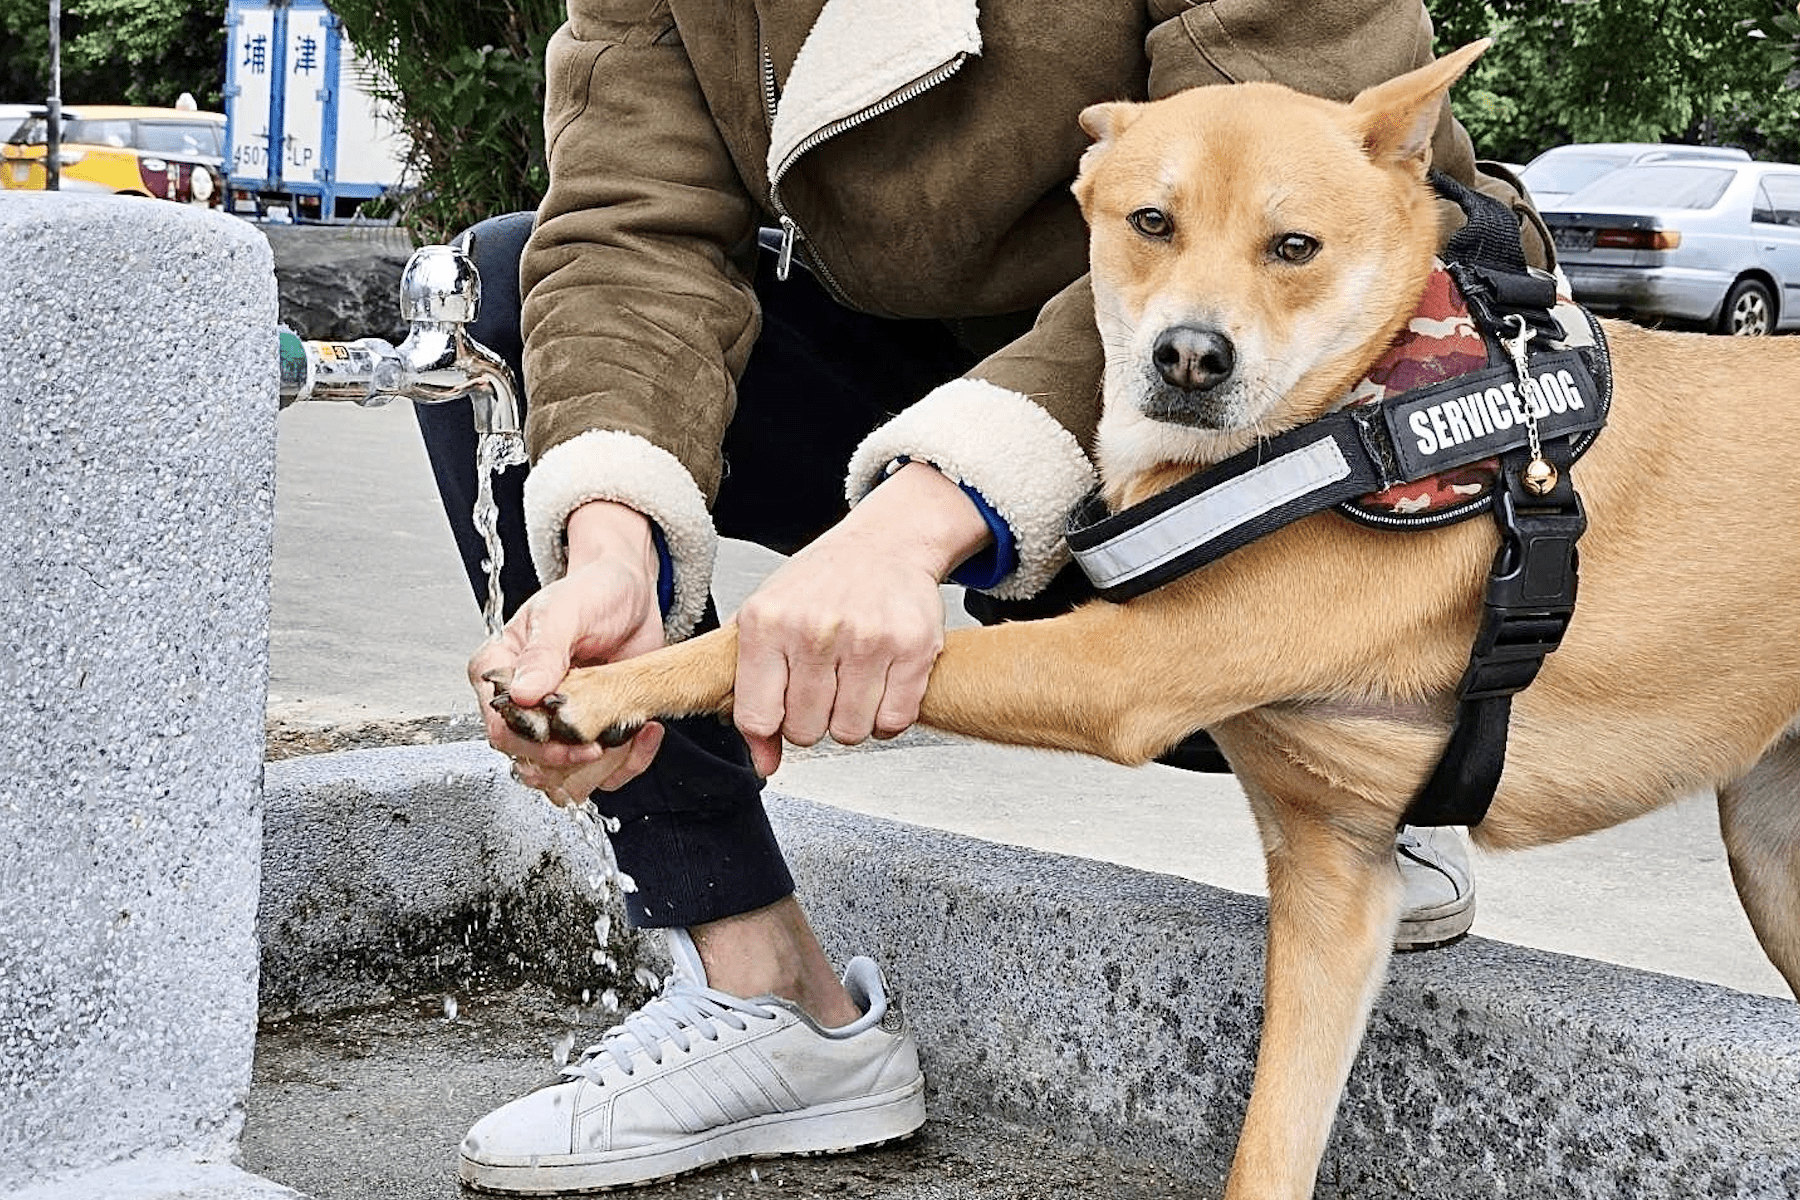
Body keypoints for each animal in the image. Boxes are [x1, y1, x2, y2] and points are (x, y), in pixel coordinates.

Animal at [496, 42, 1800, 1200]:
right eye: (1151, 222)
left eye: (1294, 247)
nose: (1189, 355)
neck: (1367, 404)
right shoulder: (1337, 887)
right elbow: (1273, 1147)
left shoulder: (1124, 669)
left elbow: (763, 643)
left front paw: (604, 684)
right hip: (1773, 858)